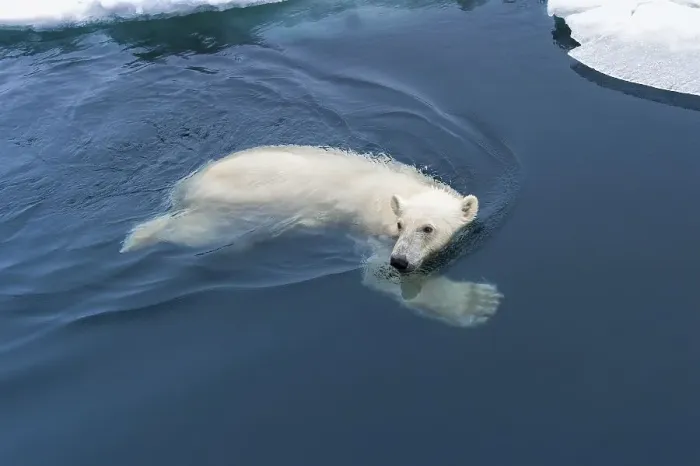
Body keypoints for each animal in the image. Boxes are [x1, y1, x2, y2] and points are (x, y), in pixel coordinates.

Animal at [121, 145, 502, 326]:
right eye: (400, 225)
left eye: (428, 228)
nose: (400, 261)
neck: (402, 190)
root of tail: (189, 185)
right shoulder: (373, 232)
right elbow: (377, 276)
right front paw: (477, 302)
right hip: (234, 210)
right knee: (194, 233)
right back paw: (136, 237)